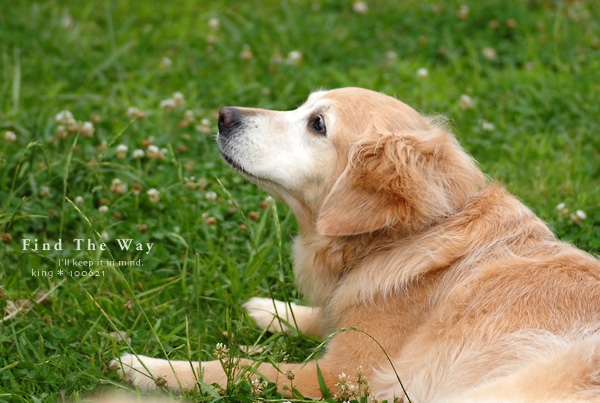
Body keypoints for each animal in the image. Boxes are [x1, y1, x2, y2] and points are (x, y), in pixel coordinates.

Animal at [111, 87, 600, 400]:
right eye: (304, 105)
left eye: (317, 124)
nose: (223, 115)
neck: (415, 235)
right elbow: (324, 317)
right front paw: (271, 309)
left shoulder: (340, 375)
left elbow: (240, 368)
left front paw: (146, 367)